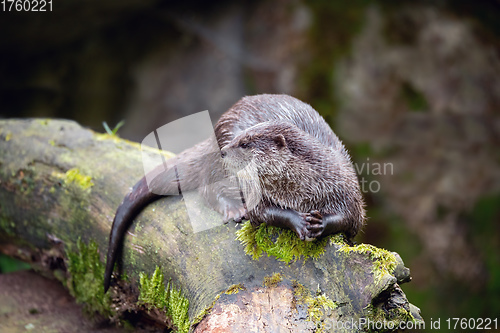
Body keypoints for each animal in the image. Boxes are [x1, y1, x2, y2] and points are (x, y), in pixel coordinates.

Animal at [103, 94, 366, 290]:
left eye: (245, 143)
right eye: (239, 138)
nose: (224, 151)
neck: (299, 191)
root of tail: (213, 139)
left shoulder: (345, 187)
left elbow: (350, 217)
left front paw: (321, 223)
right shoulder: (258, 194)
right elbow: (262, 213)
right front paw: (299, 222)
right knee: (206, 186)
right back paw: (233, 210)